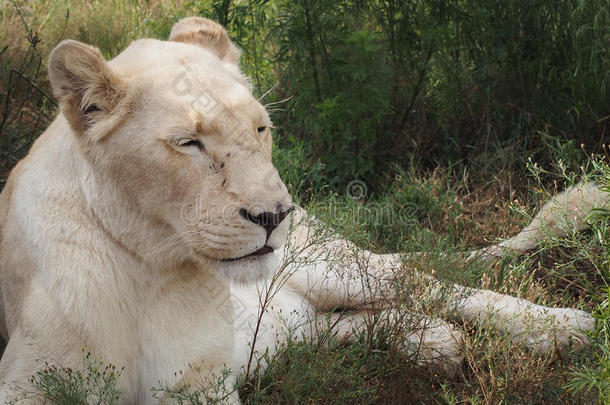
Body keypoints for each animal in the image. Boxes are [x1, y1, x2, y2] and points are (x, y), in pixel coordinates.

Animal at [0, 17, 604, 402]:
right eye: (189, 143)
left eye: (260, 129)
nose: (274, 216)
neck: (148, 271)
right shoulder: (30, 380)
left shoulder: (197, 381)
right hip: (284, 329)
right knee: (338, 322)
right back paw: (434, 344)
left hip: (327, 266)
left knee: (422, 279)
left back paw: (561, 329)